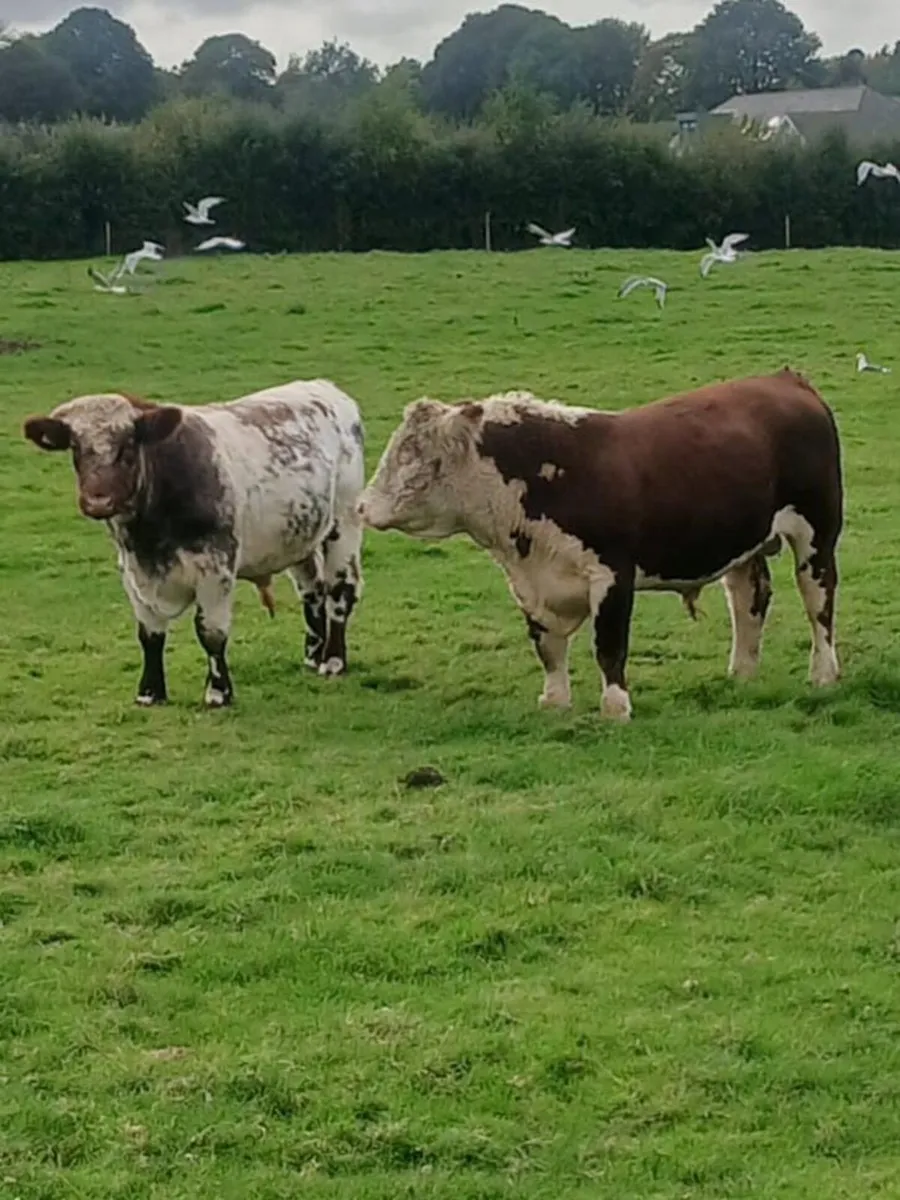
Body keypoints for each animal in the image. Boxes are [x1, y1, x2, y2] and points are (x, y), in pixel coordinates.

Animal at [24, 379, 365, 708]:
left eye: (129, 444)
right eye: (75, 447)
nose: (98, 501)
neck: (149, 538)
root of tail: (326, 388)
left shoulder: (215, 568)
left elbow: (210, 632)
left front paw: (218, 692)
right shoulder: (132, 574)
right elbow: (150, 634)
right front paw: (150, 692)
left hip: (344, 524)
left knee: (339, 591)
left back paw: (333, 660)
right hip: (301, 536)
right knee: (312, 592)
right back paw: (312, 656)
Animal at [357, 369, 842, 721]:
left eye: (416, 456)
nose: (362, 505)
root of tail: (786, 380)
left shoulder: (611, 577)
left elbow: (609, 646)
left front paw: (616, 708)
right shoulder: (530, 585)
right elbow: (548, 648)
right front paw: (555, 701)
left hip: (816, 536)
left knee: (818, 603)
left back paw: (823, 674)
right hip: (745, 543)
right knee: (748, 601)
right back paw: (741, 674)